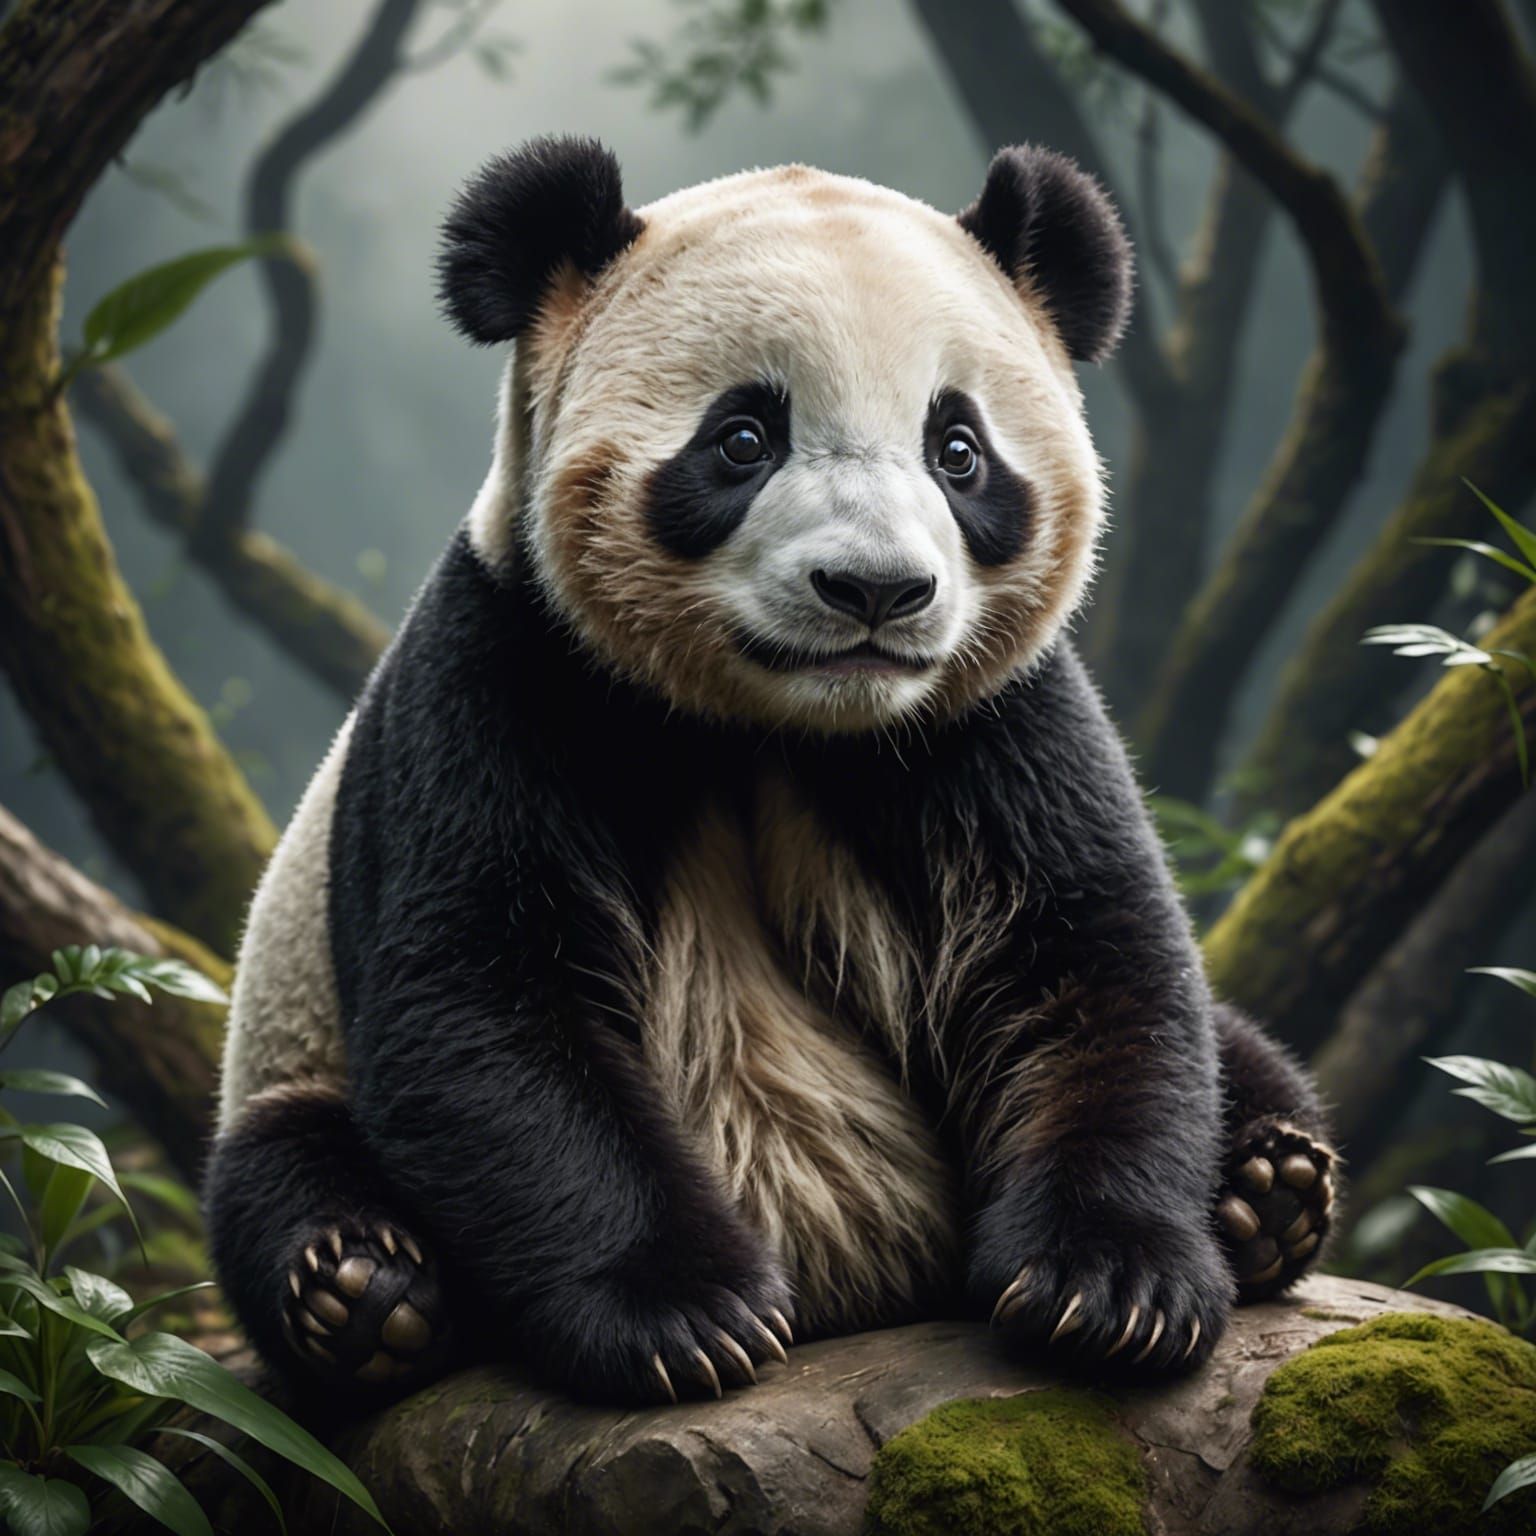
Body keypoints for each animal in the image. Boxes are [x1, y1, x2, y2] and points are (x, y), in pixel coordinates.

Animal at [205, 136, 1337, 1407]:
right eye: (743, 438)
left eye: (959, 451)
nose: (876, 590)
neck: (779, 721)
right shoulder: (503, 674)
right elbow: (483, 1005)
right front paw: (687, 1314)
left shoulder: (990, 718)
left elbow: (1088, 963)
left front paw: (1113, 1287)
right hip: (289, 1055)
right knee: (278, 1169)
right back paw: (367, 1297)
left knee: (1234, 1048)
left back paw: (1269, 1192)